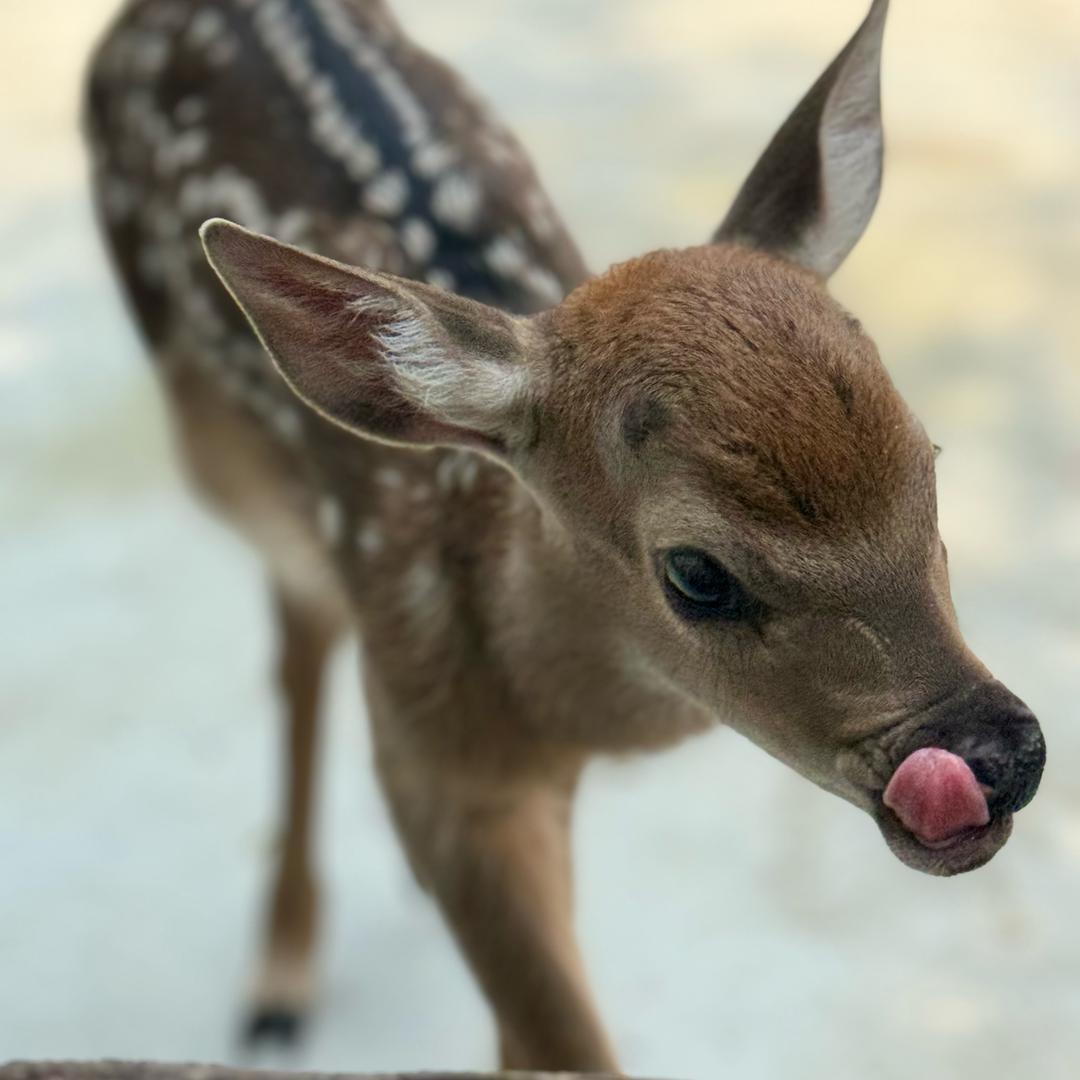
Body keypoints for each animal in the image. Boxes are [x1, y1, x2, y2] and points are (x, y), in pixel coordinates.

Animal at [84, 0, 1046, 1073]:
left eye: (931, 460)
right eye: (696, 574)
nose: (1001, 754)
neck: (552, 709)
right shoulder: (454, 769)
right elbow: (555, 1027)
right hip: (234, 473)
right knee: (298, 635)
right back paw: (279, 981)